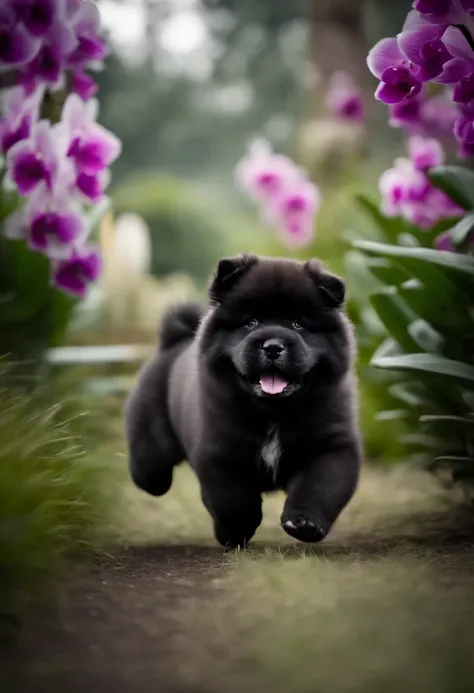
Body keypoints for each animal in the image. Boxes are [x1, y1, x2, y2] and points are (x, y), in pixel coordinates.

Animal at [124, 253, 362, 548]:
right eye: (251, 322)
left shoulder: (331, 446)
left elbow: (320, 487)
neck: (274, 414)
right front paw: (236, 532)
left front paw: (304, 524)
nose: (273, 346)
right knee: (149, 467)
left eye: (298, 324)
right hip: (152, 439)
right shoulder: (220, 452)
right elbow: (234, 502)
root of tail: (173, 342)